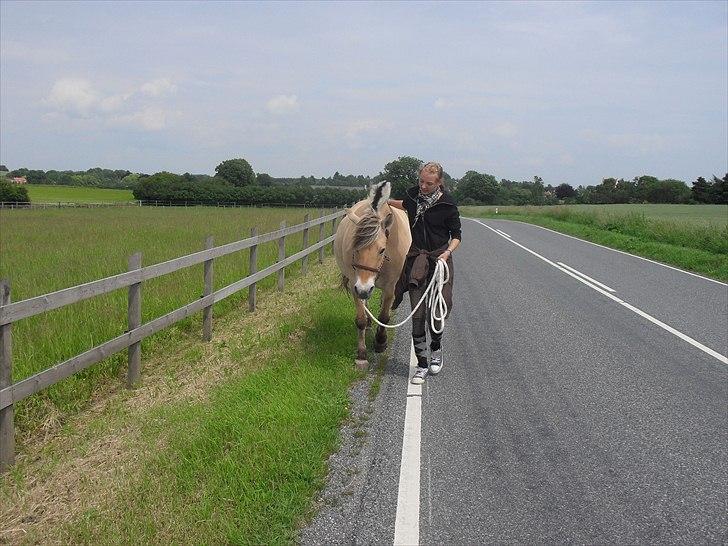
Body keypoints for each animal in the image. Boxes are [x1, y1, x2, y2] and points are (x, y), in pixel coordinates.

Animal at [334, 181, 410, 368]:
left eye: (382, 250)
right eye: (355, 249)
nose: (363, 289)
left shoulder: (390, 286)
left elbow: (384, 315)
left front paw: (381, 342)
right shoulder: (355, 284)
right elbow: (360, 319)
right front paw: (361, 354)